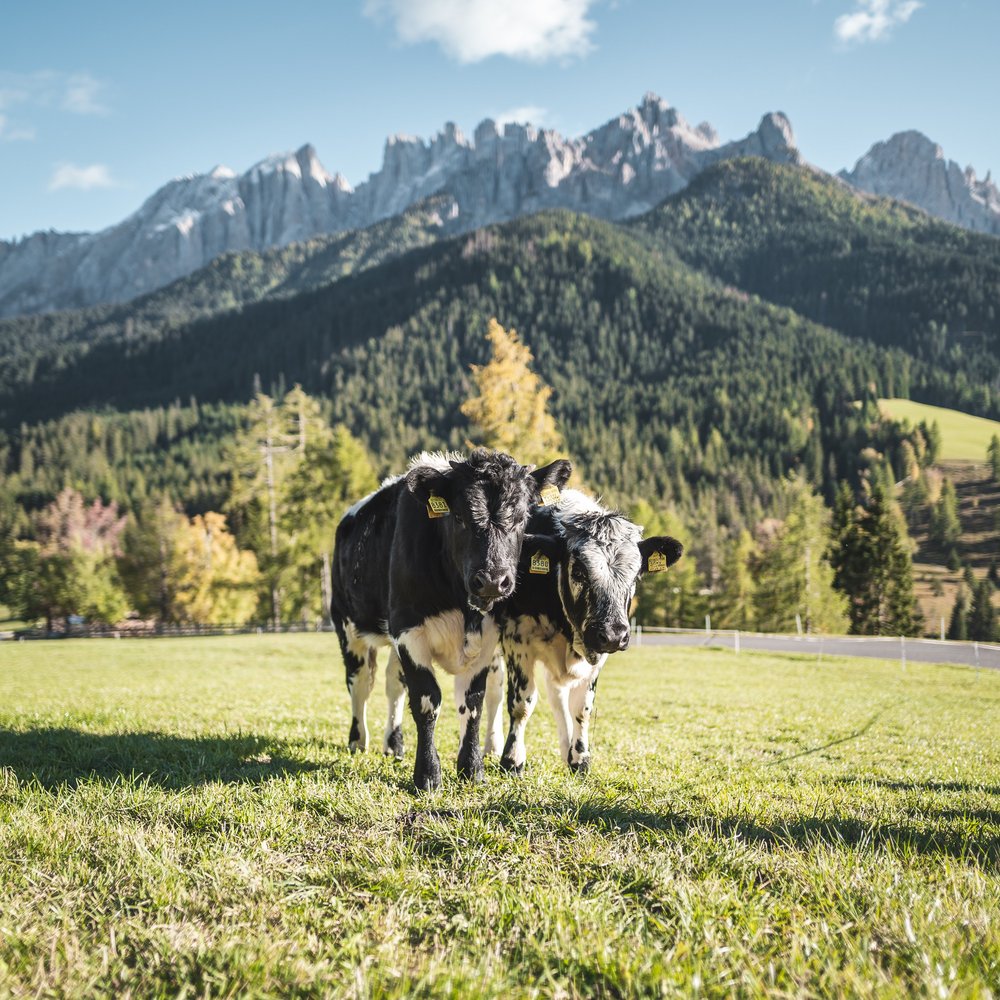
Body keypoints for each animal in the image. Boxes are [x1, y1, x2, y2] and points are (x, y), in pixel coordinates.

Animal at [332, 448, 576, 788]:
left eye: (522, 518)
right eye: (458, 517)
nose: (492, 580)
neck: (463, 607)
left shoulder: (487, 635)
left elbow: (472, 701)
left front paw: (471, 768)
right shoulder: (409, 631)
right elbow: (426, 699)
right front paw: (427, 774)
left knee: (393, 684)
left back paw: (394, 744)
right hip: (347, 624)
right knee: (359, 682)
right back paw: (357, 740)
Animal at [494, 492, 684, 772]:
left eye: (635, 576)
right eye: (579, 571)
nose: (614, 634)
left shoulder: (597, 650)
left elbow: (581, 707)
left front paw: (579, 758)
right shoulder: (515, 640)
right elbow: (521, 704)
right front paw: (512, 760)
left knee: (557, 696)